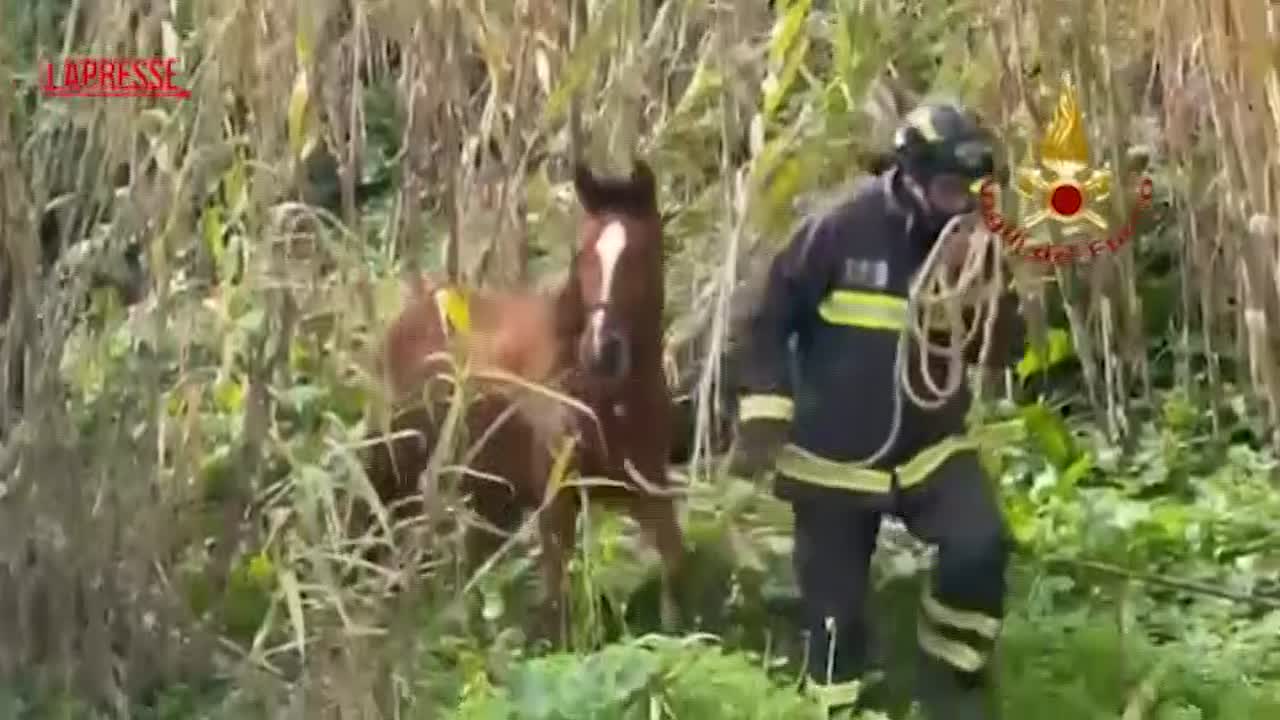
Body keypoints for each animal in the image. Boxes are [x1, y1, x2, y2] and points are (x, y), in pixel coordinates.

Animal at [363, 159, 684, 641]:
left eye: (642, 255)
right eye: (583, 255)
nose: (602, 349)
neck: (604, 399)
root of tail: (405, 320)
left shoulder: (648, 489)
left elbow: (673, 567)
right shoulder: (557, 501)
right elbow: (558, 600)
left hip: (490, 494)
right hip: (396, 468)